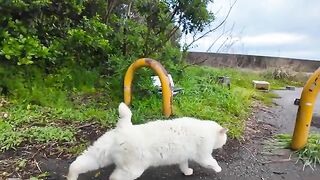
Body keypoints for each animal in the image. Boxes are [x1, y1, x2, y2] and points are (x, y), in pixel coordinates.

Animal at [67, 102, 228, 180]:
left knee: (77, 164)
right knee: (114, 177)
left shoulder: (183, 156)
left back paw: (71, 177)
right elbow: (212, 162)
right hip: (133, 169)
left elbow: (183, 164)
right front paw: (219, 169)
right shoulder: (203, 155)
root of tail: (123, 127)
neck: (207, 129)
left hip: (99, 153)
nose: (223, 145)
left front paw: (187, 172)